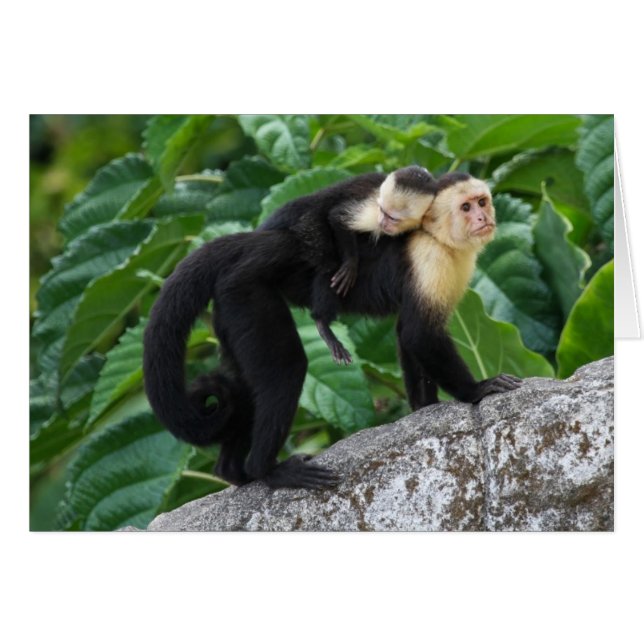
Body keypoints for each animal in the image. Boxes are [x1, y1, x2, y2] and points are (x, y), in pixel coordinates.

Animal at [257, 165, 437, 365]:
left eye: (393, 218)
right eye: (383, 212)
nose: (382, 223)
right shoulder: (372, 208)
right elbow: (338, 217)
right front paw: (351, 264)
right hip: (308, 224)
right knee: (328, 261)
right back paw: (322, 322)